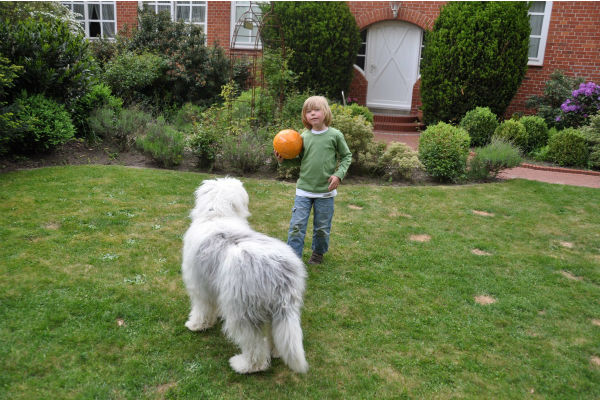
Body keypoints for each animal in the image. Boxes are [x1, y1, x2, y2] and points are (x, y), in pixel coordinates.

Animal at [180, 177, 308, 374]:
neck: (217, 215)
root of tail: (278, 272)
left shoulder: (200, 285)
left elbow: (202, 309)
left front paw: (196, 325)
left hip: (243, 311)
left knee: (254, 347)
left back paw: (243, 365)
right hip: (278, 310)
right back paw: (276, 352)